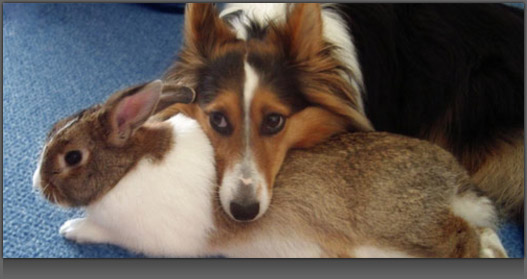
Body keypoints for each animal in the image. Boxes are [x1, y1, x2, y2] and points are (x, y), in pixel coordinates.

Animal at [32, 80, 508, 260]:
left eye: (72, 157)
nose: (37, 184)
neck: (127, 167)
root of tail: (454, 183)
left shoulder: (143, 237)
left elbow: (99, 230)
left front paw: (71, 229)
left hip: (402, 226)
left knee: (461, 237)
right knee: (483, 232)